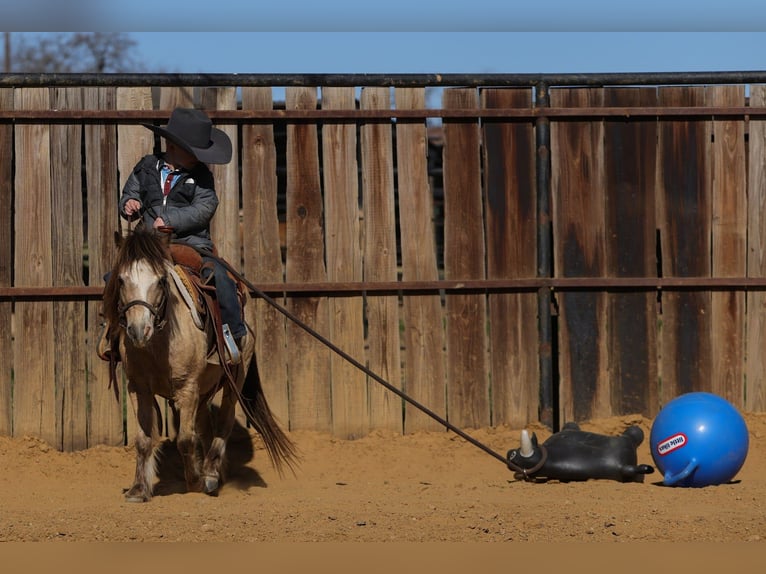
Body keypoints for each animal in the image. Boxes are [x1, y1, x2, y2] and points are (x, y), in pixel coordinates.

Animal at [102, 227, 297, 502]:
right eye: (121, 280)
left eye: (161, 280)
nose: (139, 330)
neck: (159, 342)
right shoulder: (138, 387)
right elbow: (143, 439)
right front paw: (139, 489)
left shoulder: (187, 388)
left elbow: (185, 439)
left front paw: (195, 482)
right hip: (204, 389)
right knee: (206, 424)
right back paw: (215, 472)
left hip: (234, 379)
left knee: (224, 421)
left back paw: (212, 474)